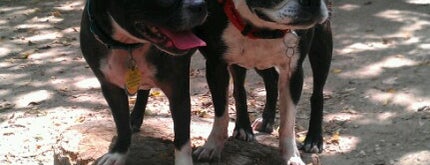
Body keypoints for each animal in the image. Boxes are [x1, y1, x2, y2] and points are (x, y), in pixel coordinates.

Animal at [80, 0, 208, 164]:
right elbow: (121, 124)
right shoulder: (111, 88)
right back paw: (135, 118)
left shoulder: (178, 93)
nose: (201, 5)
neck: (128, 45)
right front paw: (118, 153)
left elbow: (182, 136)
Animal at [194, 0, 332, 164]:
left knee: (317, 93)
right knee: (254, 85)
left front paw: (291, 156)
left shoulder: (293, 71)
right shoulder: (216, 66)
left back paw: (314, 139)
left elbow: (288, 121)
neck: (263, 28)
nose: (312, 2)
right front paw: (212, 146)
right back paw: (248, 126)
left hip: (322, 42)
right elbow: (221, 112)